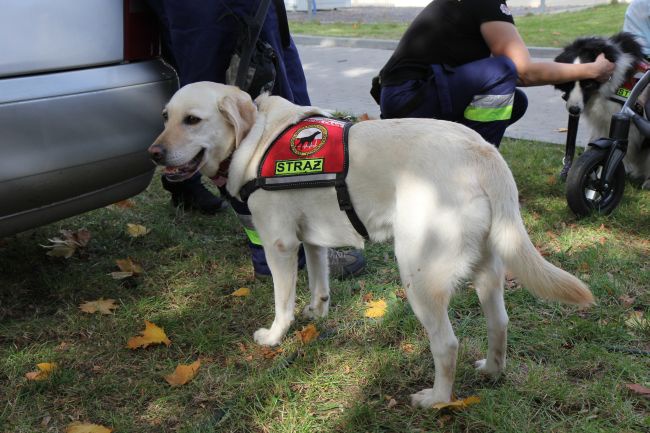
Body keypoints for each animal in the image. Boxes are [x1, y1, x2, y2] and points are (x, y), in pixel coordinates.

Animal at [148, 82, 592, 406]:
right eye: (165, 117)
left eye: (192, 120)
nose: (153, 152)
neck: (256, 136)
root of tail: (482, 151)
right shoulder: (311, 241)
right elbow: (319, 284)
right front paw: (317, 313)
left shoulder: (280, 245)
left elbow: (282, 302)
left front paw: (275, 337)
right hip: (487, 272)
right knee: (499, 323)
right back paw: (491, 372)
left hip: (418, 277)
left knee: (447, 345)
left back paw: (437, 399)